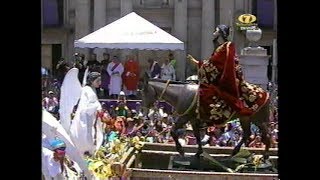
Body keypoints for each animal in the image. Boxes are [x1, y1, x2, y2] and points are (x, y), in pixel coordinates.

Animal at [140, 72, 270, 160]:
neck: (181, 94)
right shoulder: (193, 119)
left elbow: (173, 131)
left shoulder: (184, 117)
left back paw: (264, 157)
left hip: (258, 119)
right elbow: (197, 136)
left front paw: (181, 151)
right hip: (246, 118)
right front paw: (198, 153)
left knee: (265, 135)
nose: (145, 111)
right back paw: (234, 153)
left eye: (144, 91)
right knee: (248, 133)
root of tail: (265, 92)